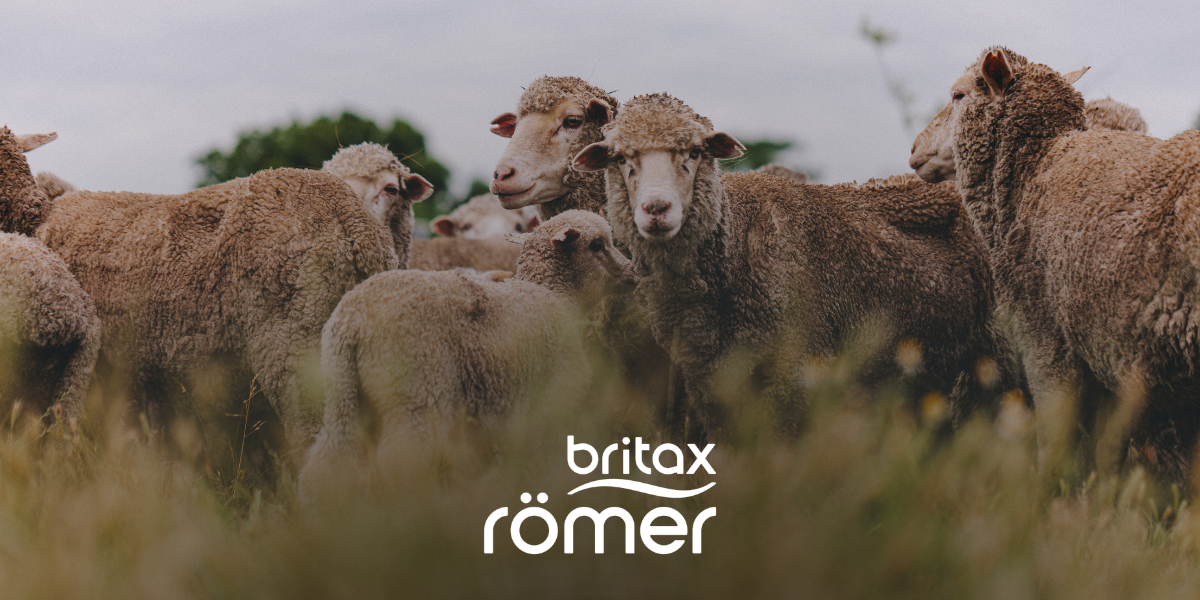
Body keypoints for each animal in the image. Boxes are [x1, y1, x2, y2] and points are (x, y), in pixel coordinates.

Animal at [298, 210, 633, 491]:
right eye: (597, 245)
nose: (631, 271)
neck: (554, 294)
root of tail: (351, 321)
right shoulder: (554, 401)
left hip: (344, 397)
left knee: (328, 467)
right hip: (417, 393)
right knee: (400, 462)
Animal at [918, 46, 1200, 481]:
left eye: (958, 96)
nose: (914, 149)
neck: (1036, 166)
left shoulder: (1046, 336)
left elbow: (1055, 441)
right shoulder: (1106, 357)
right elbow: (1107, 455)